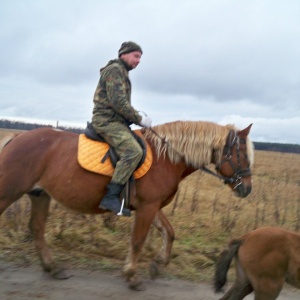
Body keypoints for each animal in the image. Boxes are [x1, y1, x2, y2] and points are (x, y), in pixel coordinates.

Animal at [0, 120, 253, 290]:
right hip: (10, 192)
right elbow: (138, 240)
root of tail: (16, 137)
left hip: (40, 194)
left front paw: (157, 265)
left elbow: (169, 232)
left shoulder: (152, 206)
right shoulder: (147, 207)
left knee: (37, 228)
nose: (247, 189)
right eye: (242, 154)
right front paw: (132, 275)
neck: (165, 157)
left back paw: (53, 268)